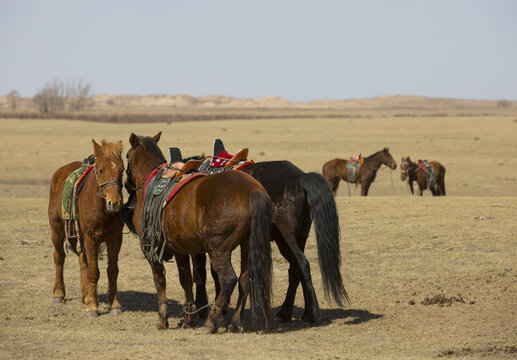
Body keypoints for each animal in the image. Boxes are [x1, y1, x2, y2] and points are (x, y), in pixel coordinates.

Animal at [48, 139, 125, 316]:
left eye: (122, 170)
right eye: (101, 170)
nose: (114, 203)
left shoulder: (115, 238)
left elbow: (112, 271)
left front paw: (114, 305)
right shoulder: (90, 237)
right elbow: (93, 271)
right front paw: (92, 306)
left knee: (82, 260)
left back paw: (85, 296)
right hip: (57, 229)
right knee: (59, 257)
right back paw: (59, 294)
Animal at [124, 134, 272, 334]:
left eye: (126, 155)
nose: (126, 184)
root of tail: (253, 191)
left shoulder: (150, 247)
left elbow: (160, 281)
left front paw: (162, 320)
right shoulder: (180, 249)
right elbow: (186, 280)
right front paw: (190, 319)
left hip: (218, 249)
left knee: (228, 279)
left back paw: (212, 321)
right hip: (247, 244)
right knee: (245, 279)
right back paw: (234, 322)